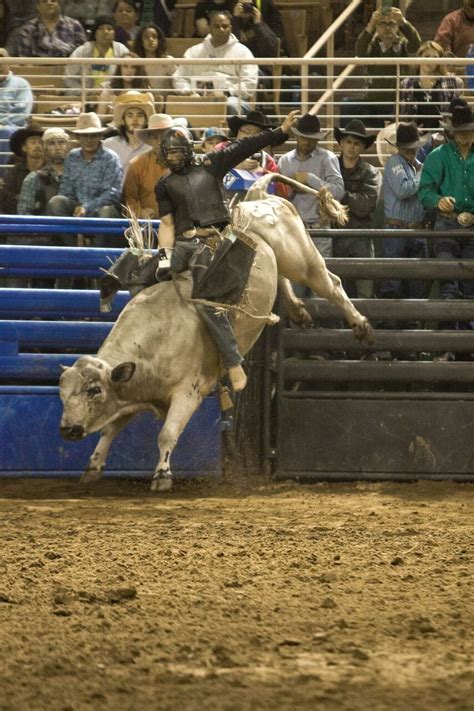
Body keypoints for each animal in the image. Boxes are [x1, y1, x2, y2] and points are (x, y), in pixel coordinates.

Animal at [59, 175, 374, 492]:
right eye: (62, 392)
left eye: (94, 390)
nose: (67, 429)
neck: (153, 341)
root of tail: (257, 198)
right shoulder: (131, 394)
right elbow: (110, 430)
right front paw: (93, 467)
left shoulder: (189, 391)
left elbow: (167, 433)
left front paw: (162, 475)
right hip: (280, 262)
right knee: (282, 280)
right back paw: (298, 311)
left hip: (303, 260)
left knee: (331, 284)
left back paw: (361, 326)